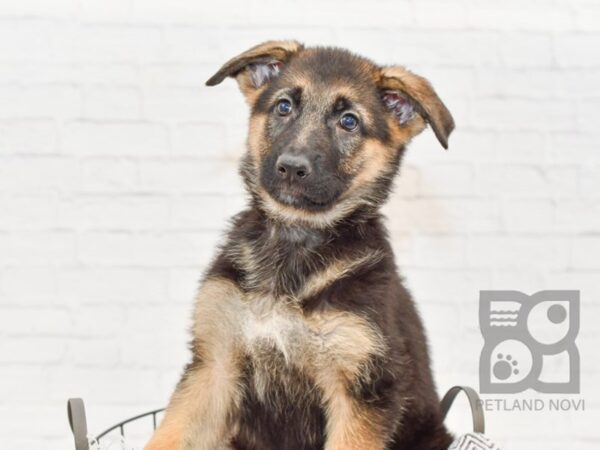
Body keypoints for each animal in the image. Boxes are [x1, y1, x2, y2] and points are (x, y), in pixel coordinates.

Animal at [145, 40, 454, 448]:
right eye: (284, 106)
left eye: (349, 121)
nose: (292, 167)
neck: (295, 240)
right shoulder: (214, 367)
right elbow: (171, 434)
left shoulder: (361, 391)